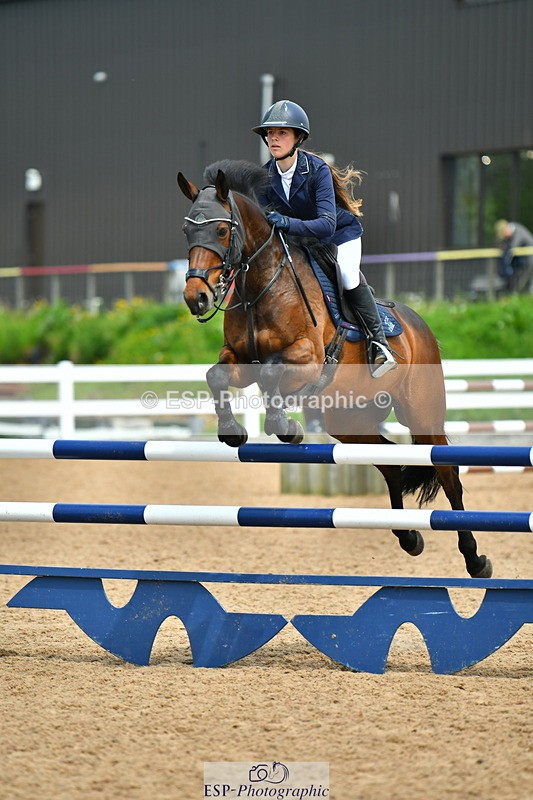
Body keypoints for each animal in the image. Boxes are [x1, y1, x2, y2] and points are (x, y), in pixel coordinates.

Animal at [177, 159, 492, 579]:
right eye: (187, 231)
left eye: (222, 229)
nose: (196, 297)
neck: (261, 285)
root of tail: (420, 325)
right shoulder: (241, 361)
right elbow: (217, 376)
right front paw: (232, 431)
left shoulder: (308, 357)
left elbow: (274, 375)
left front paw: (286, 427)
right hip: (349, 419)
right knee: (390, 464)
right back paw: (408, 537)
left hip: (422, 413)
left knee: (447, 472)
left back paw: (475, 559)